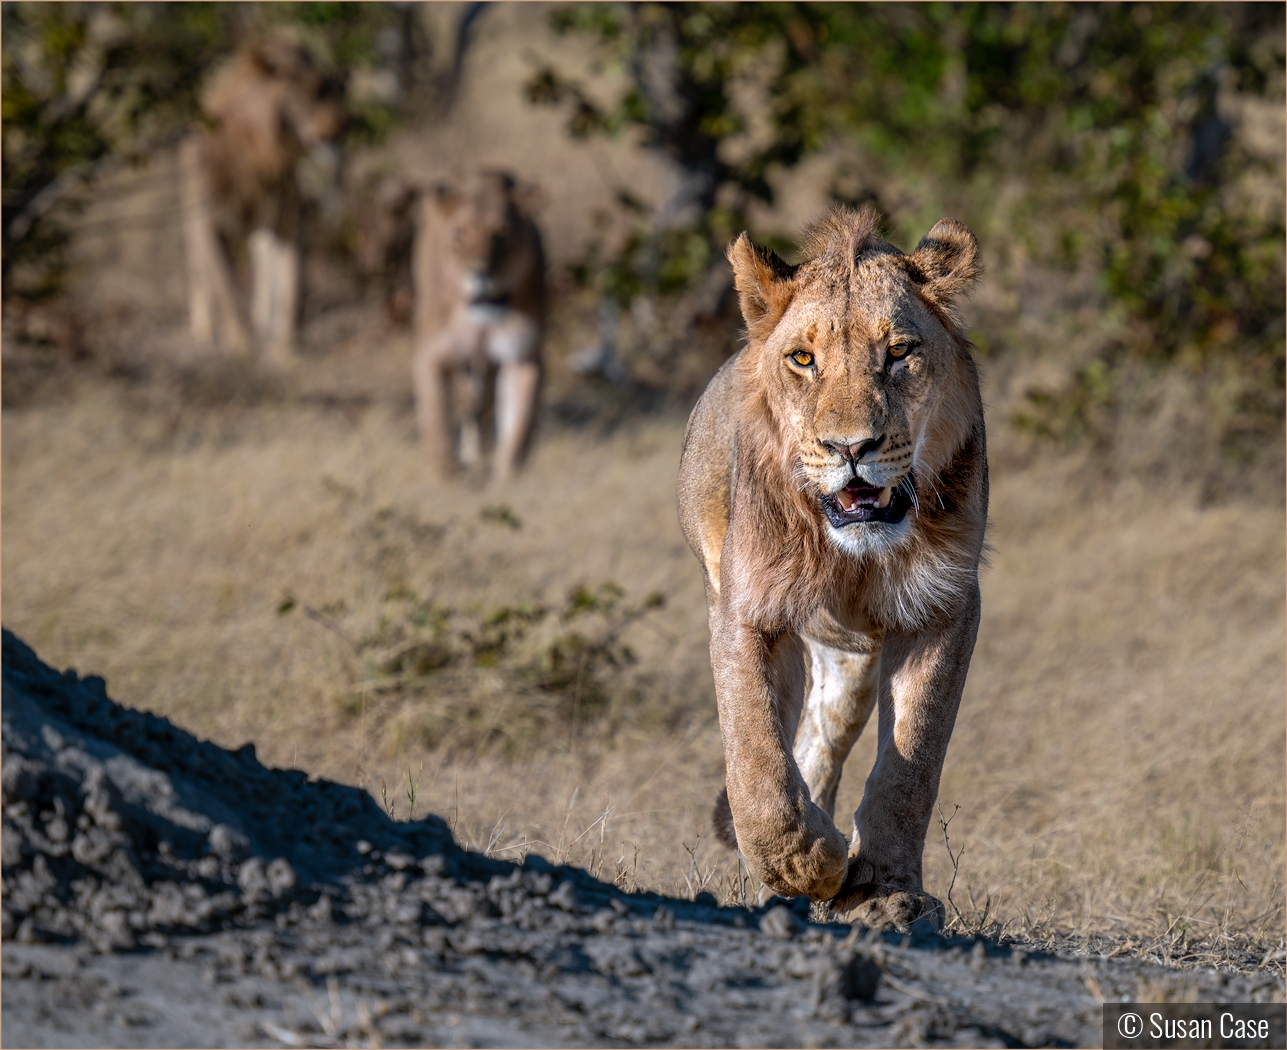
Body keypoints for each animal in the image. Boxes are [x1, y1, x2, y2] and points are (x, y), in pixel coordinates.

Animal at [181, 38, 344, 368]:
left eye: (332, 86)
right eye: (310, 90)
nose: (342, 125)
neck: (262, 155)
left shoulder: (290, 220)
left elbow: (291, 286)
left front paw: (285, 350)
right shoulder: (208, 225)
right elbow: (225, 288)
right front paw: (240, 346)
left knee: (265, 266)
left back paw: (262, 319)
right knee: (197, 271)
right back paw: (203, 330)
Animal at [411, 171, 543, 483]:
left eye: (503, 235)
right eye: (459, 235)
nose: (481, 273)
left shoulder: (523, 355)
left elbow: (520, 422)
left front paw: (506, 477)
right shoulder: (431, 354)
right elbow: (436, 414)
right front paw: (446, 473)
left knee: (480, 405)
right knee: (467, 401)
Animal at [679, 209, 988, 931]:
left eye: (898, 352)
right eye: (803, 359)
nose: (851, 448)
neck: (850, 554)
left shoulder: (946, 606)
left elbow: (913, 760)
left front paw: (883, 892)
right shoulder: (744, 610)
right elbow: (755, 755)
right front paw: (804, 864)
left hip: (849, 662)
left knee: (823, 739)